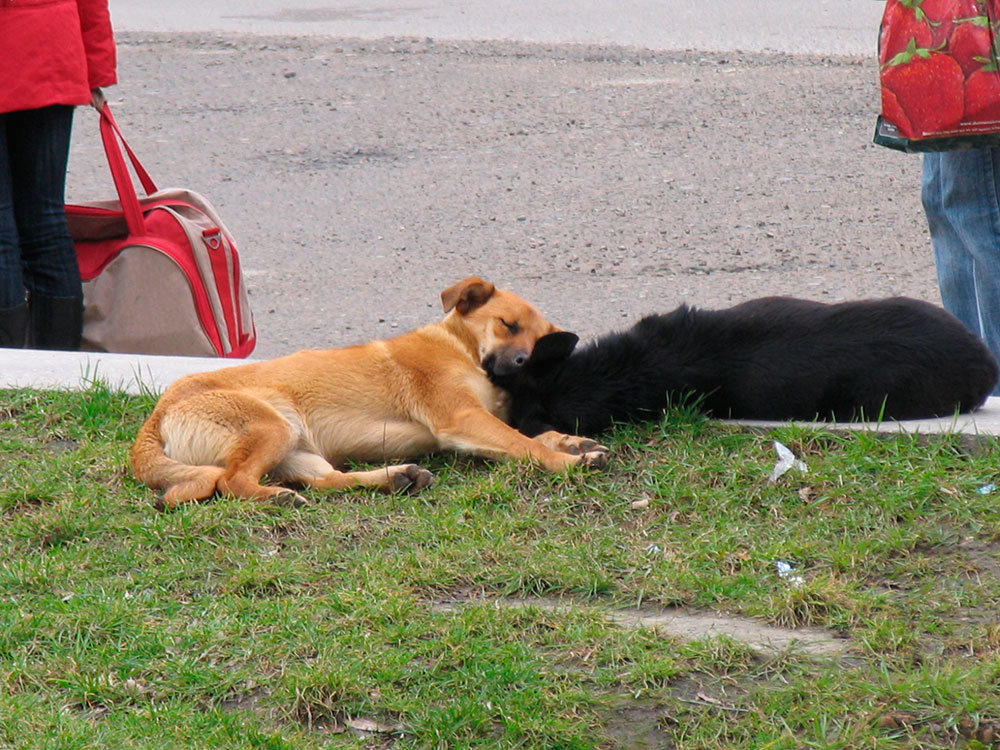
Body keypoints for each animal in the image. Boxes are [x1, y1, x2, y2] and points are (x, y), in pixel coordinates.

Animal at [129, 278, 604, 512]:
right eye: (507, 325)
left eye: (539, 343)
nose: (522, 363)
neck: (461, 349)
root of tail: (156, 417)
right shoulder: (462, 420)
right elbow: (524, 445)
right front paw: (566, 461)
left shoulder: (480, 421)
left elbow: (531, 436)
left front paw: (571, 442)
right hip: (270, 427)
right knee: (231, 482)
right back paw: (274, 498)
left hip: (294, 446)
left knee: (325, 481)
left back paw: (395, 478)